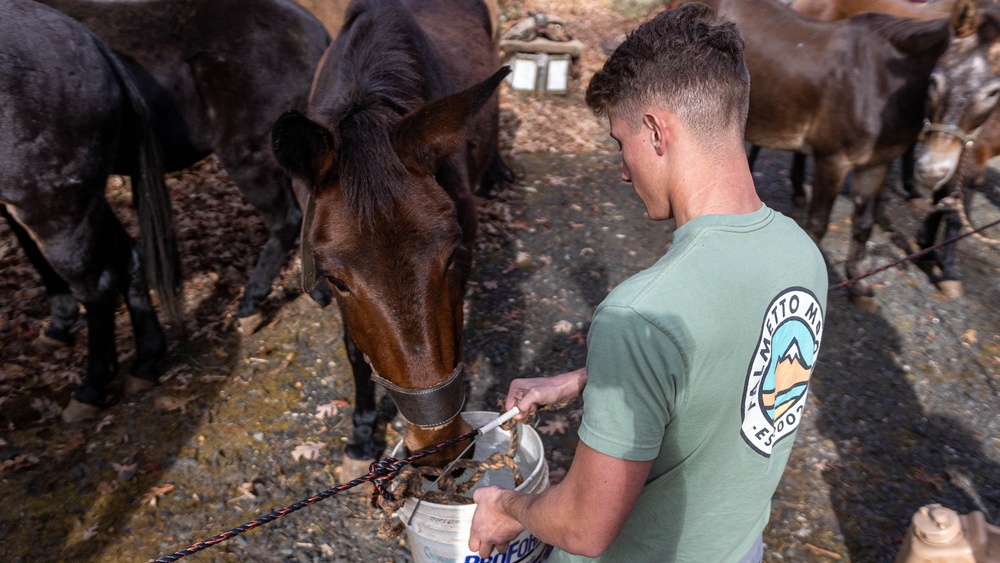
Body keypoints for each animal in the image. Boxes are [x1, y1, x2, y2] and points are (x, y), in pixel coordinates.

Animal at [676, 0, 1000, 312]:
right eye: (934, 80)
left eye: (993, 92)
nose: (934, 170)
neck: (877, 83)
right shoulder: (832, 161)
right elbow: (818, 224)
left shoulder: (876, 165)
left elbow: (864, 225)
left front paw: (860, 285)